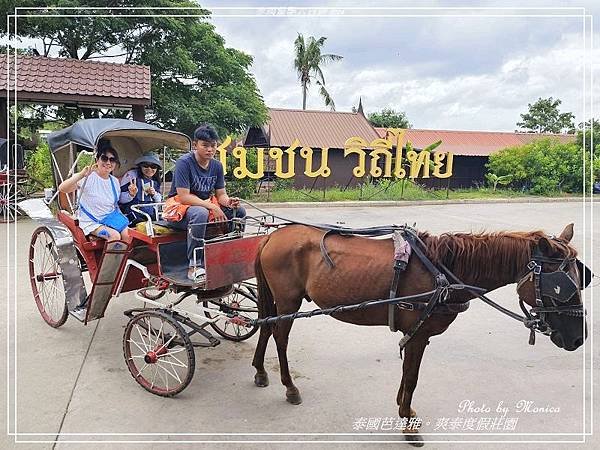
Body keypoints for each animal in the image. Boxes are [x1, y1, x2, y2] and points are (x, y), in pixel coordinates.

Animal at [251, 221, 588, 442]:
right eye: (561, 285)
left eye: (583, 278)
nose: (579, 337)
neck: (445, 272)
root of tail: (271, 236)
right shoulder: (420, 333)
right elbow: (412, 376)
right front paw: (407, 421)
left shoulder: (415, 334)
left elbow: (407, 374)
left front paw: (404, 408)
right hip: (289, 300)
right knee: (280, 337)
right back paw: (289, 387)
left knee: (265, 328)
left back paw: (260, 371)